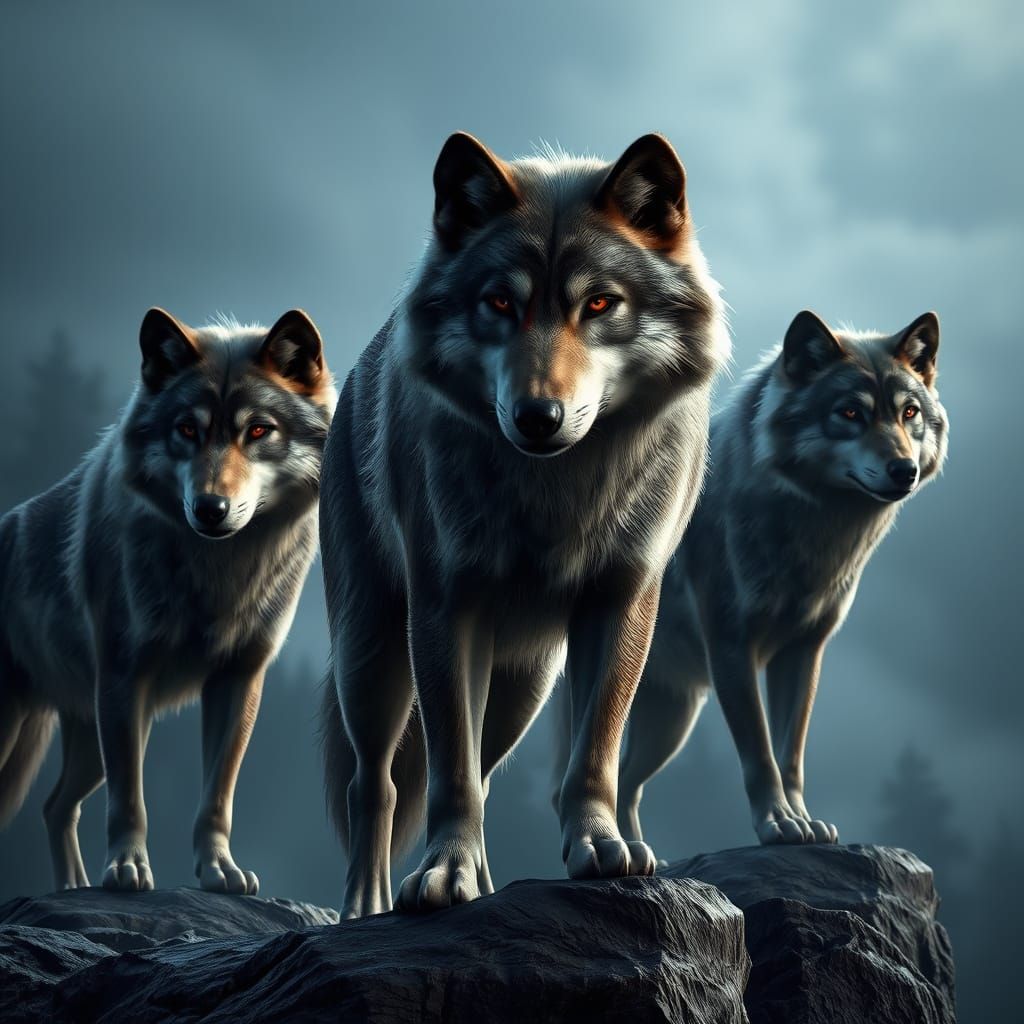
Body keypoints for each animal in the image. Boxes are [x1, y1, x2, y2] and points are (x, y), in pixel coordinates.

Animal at [0, 307, 335, 892]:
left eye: (259, 430)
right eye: (186, 430)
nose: (209, 508)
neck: (217, 573)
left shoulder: (238, 679)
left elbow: (217, 797)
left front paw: (219, 869)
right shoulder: (122, 679)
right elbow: (130, 799)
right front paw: (126, 868)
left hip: (86, 740)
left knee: (54, 806)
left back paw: (73, 888)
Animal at [319, 131, 729, 917]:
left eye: (599, 303)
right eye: (500, 303)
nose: (539, 416)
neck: (554, 492)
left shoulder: (623, 597)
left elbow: (594, 748)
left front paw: (600, 847)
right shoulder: (443, 607)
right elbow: (446, 768)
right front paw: (443, 873)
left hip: (522, 688)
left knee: (482, 766)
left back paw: (478, 881)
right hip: (372, 661)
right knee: (374, 782)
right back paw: (366, 903)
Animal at [612, 310, 948, 847]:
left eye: (909, 412)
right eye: (849, 413)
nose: (904, 470)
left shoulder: (803, 652)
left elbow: (791, 756)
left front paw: (804, 820)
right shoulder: (731, 647)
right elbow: (760, 754)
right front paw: (778, 823)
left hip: (671, 719)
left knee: (620, 782)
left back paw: (639, 855)